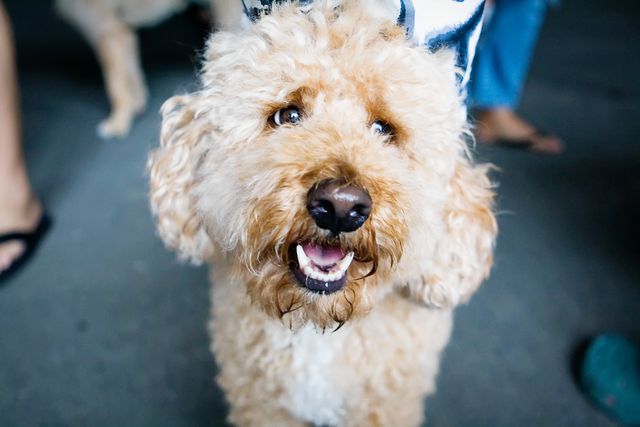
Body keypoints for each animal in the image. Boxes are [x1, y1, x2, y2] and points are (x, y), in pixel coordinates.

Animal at [149, 1, 496, 425]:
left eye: (385, 129)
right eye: (288, 115)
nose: (340, 207)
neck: (317, 325)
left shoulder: (384, 403)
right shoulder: (260, 399)